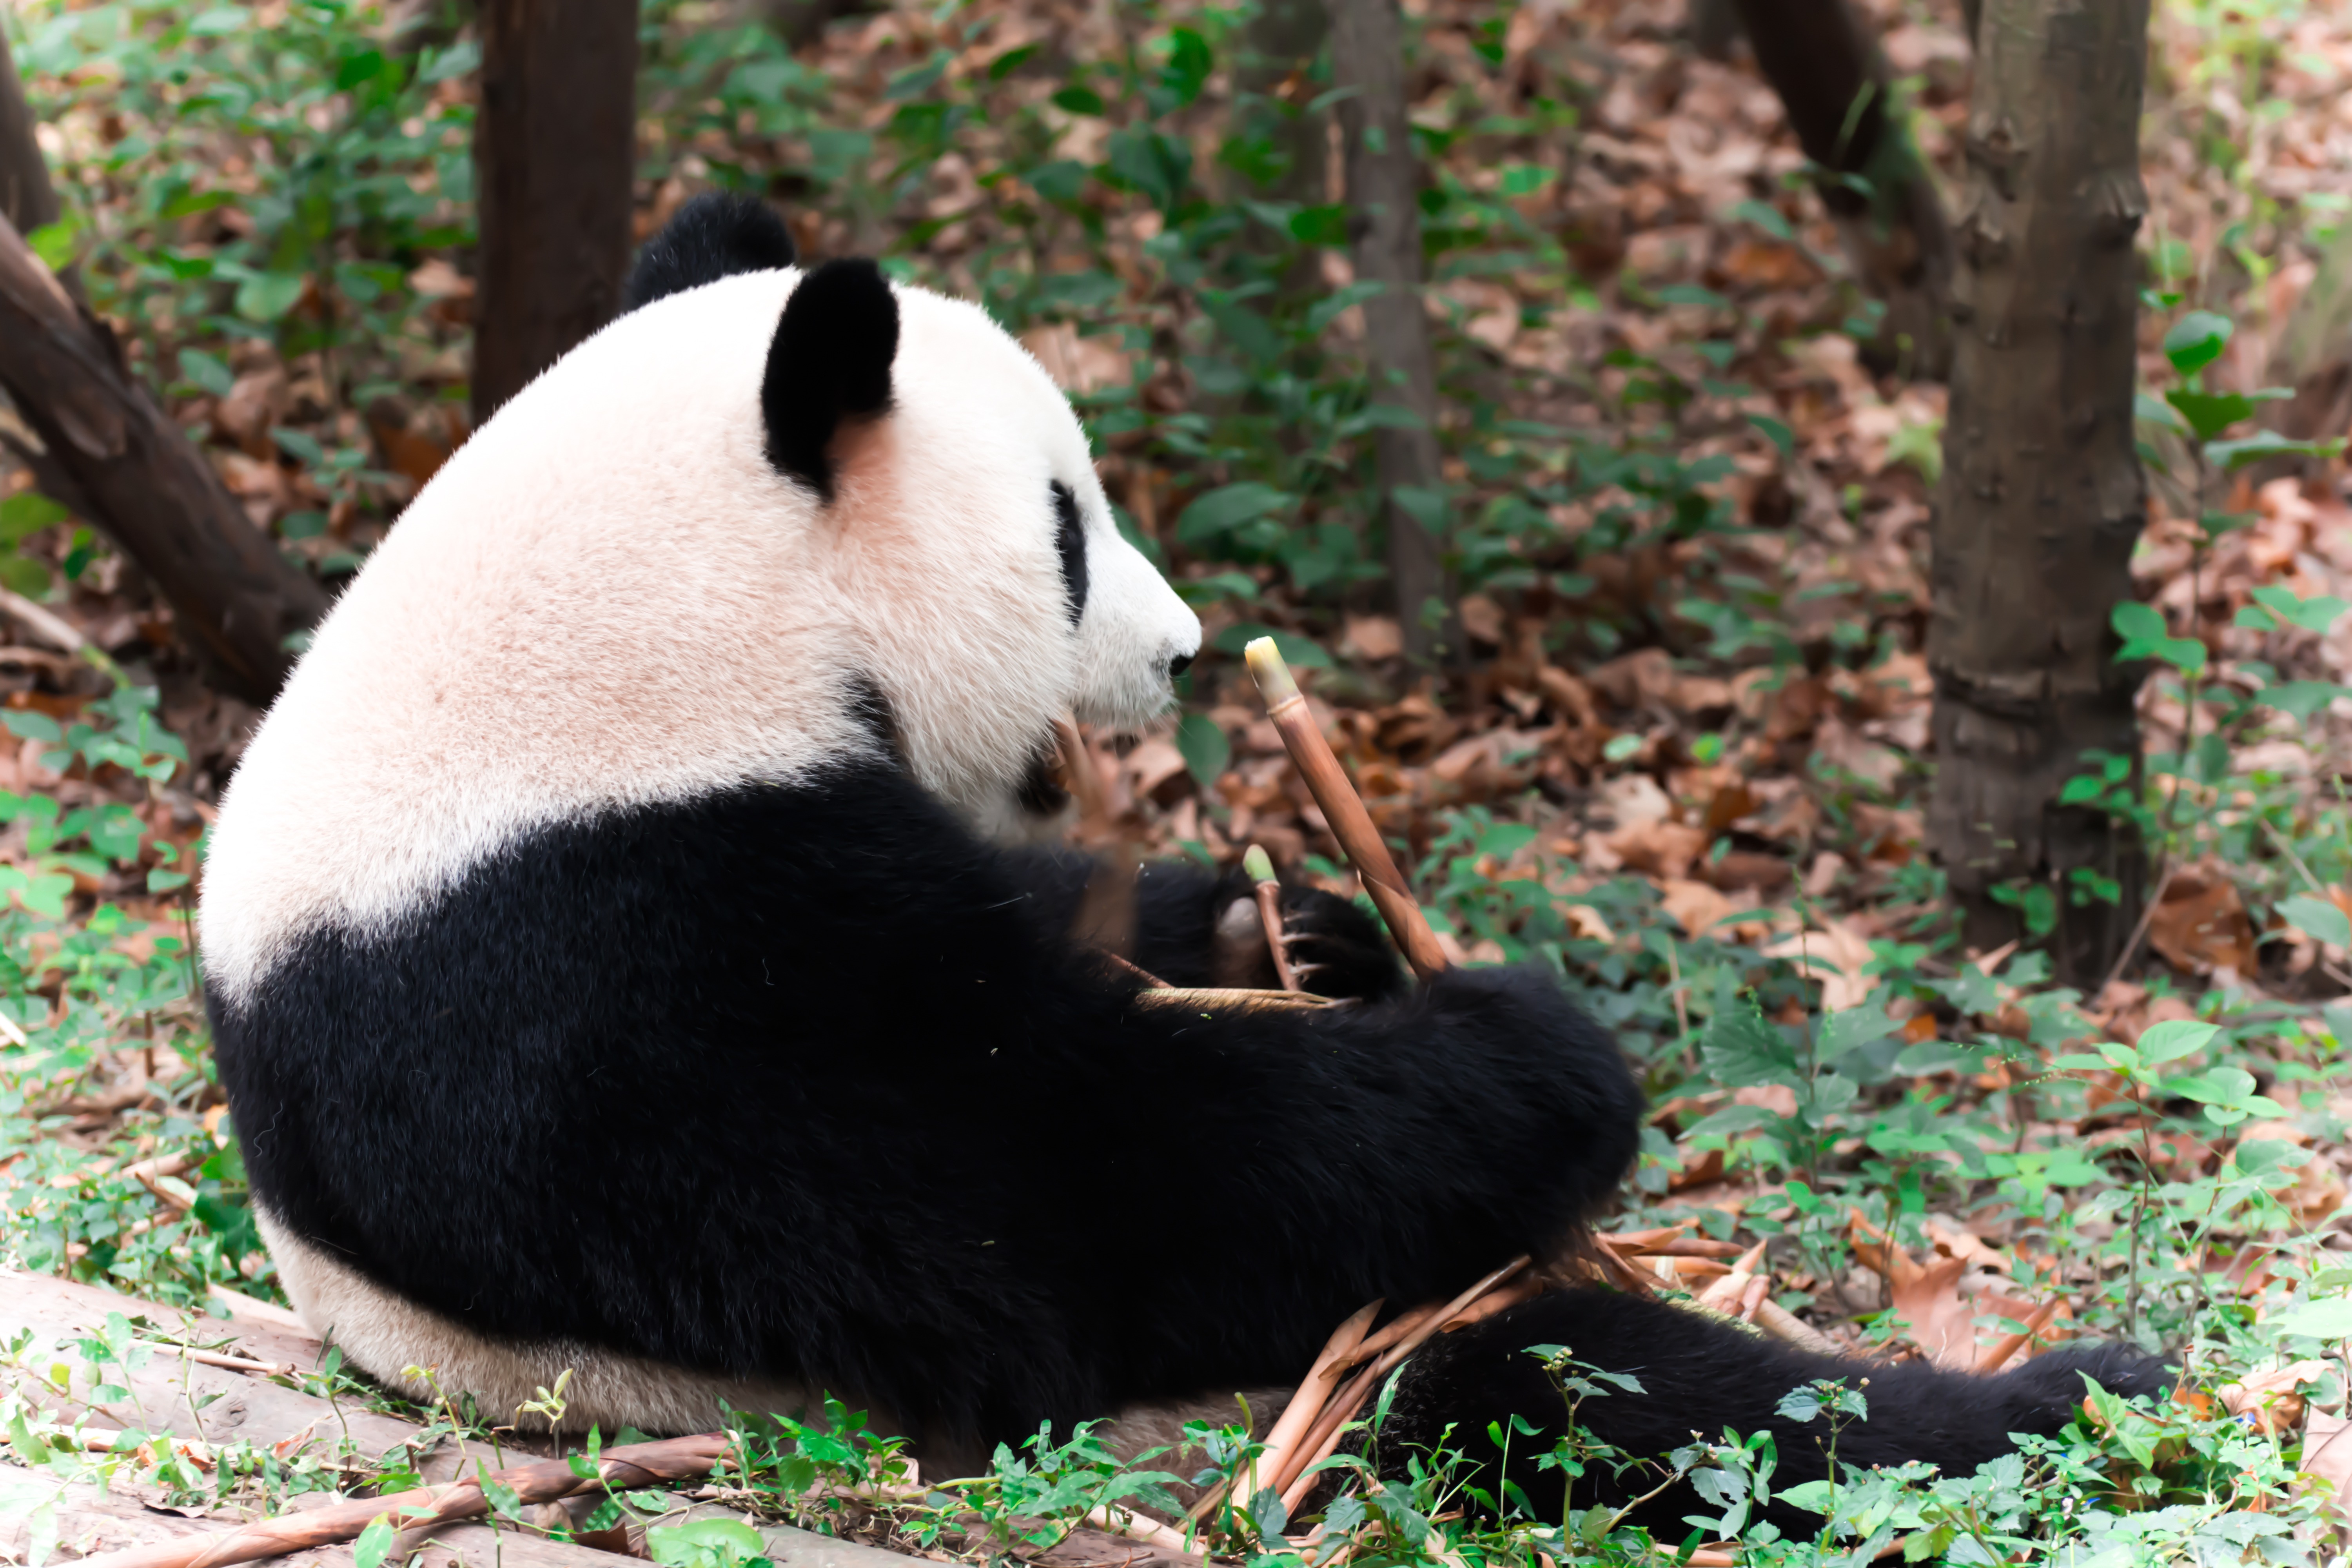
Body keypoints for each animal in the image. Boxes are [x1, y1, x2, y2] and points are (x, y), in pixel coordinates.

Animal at [200, 194, 2163, 1530]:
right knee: (1577, 1389)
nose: (1189, 648)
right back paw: (2073, 1394)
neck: (640, 641)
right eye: (1070, 530)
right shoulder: (603, 961)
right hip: (1265, 1389)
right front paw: (1534, 1054)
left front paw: (1287, 918)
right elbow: (1071, 1198)